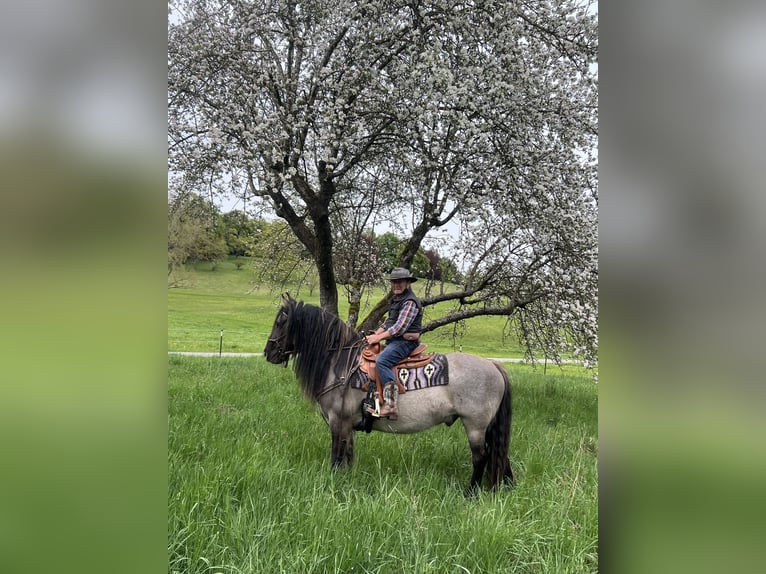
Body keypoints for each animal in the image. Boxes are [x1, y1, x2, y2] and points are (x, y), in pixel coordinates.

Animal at [263, 294, 514, 495]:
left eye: (281, 321)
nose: (268, 352)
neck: (342, 364)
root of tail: (493, 365)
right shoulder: (348, 425)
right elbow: (348, 456)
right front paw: (347, 482)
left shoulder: (338, 422)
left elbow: (336, 457)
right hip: (488, 426)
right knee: (499, 454)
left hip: (475, 425)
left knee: (481, 457)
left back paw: (470, 493)